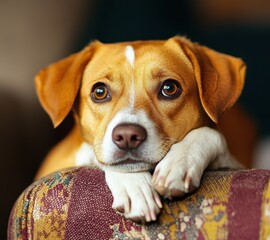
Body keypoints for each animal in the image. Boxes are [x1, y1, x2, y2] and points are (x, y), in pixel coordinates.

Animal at [34, 36, 246, 222]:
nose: (127, 135)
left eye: (169, 88)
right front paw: (134, 187)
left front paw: (178, 163)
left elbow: (212, 135)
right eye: (99, 91)